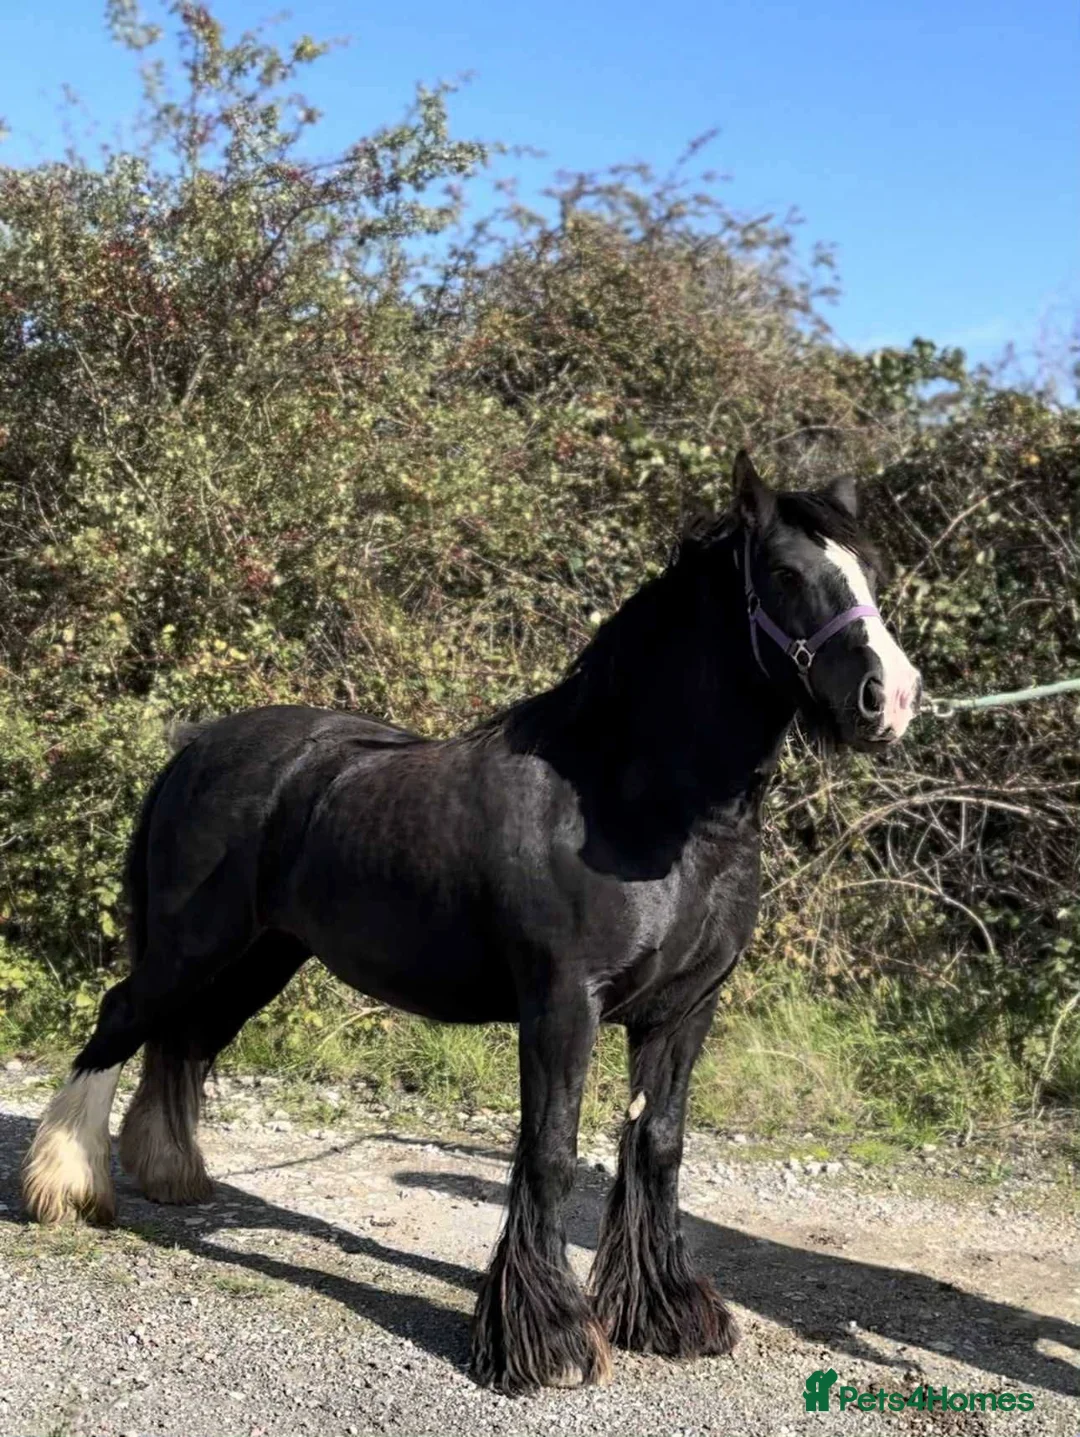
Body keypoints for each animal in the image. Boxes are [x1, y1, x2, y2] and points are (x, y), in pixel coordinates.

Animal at [21, 451, 921, 1395]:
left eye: (869, 571)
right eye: (785, 573)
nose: (891, 697)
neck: (633, 799)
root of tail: (195, 747)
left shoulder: (683, 1011)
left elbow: (659, 1147)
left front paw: (666, 1315)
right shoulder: (562, 1005)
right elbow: (551, 1151)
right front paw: (549, 1340)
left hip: (259, 959)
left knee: (183, 1040)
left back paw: (171, 1173)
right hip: (193, 946)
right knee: (122, 1018)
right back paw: (67, 1189)